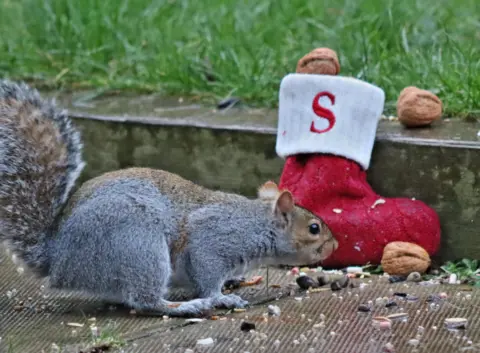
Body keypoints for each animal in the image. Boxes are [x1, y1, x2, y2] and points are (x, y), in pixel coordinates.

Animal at [0, 80, 338, 316]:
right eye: (314, 228)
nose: (334, 245)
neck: (255, 223)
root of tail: (57, 258)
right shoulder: (213, 239)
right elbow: (206, 272)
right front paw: (221, 296)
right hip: (137, 245)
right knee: (145, 301)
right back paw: (185, 307)